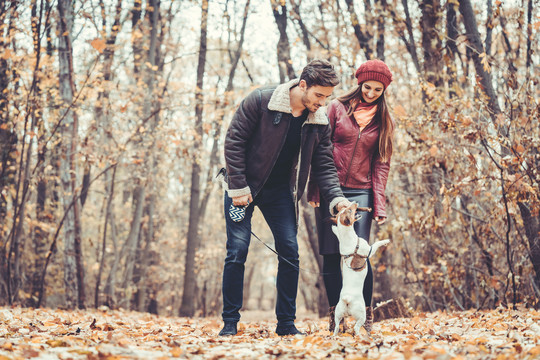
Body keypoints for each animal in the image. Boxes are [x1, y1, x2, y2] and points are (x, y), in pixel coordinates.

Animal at [332, 201, 390, 336]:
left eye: (346, 208)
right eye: (349, 210)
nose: (354, 202)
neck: (348, 238)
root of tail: (347, 299)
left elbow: (336, 231)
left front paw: (334, 228)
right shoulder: (369, 251)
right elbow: (376, 244)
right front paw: (385, 241)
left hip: (338, 314)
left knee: (337, 326)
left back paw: (334, 336)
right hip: (361, 314)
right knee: (356, 327)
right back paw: (360, 336)